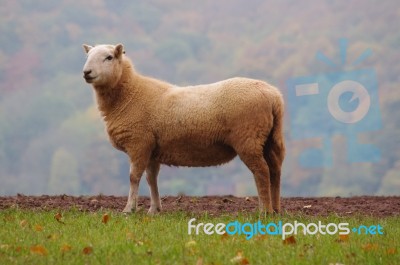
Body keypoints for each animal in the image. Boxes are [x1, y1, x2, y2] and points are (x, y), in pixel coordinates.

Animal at [83, 42, 286, 212]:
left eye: (109, 57)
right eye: (88, 55)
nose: (86, 72)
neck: (130, 94)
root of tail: (272, 95)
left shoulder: (139, 143)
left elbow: (134, 177)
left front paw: (129, 210)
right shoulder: (151, 148)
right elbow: (151, 179)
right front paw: (154, 210)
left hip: (249, 138)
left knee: (261, 171)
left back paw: (264, 211)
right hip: (268, 138)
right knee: (274, 170)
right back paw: (275, 209)